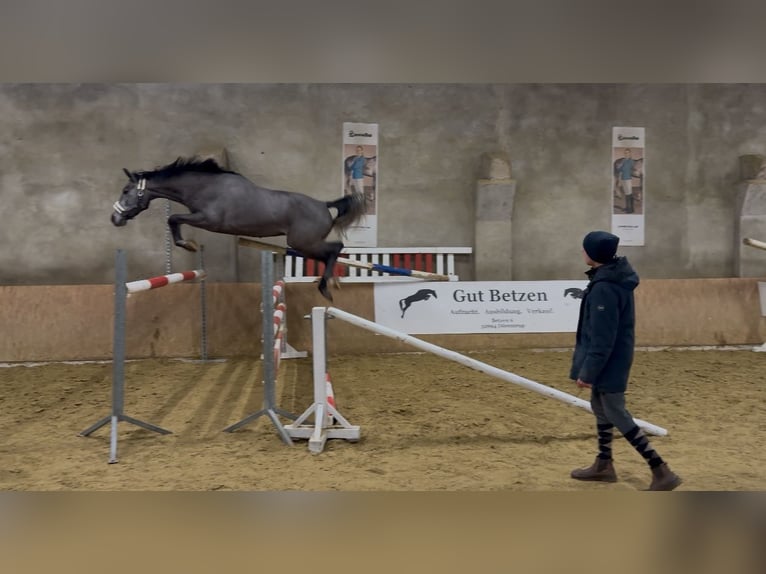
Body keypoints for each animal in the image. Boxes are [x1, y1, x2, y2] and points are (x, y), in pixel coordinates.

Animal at [110, 158, 368, 302]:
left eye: (125, 190)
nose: (115, 218)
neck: (205, 187)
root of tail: (324, 205)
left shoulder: (207, 219)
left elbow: (173, 219)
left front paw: (188, 245)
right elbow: (174, 220)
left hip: (303, 243)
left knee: (335, 248)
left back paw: (326, 288)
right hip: (304, 245)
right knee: (330, 254)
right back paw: (332, 282)